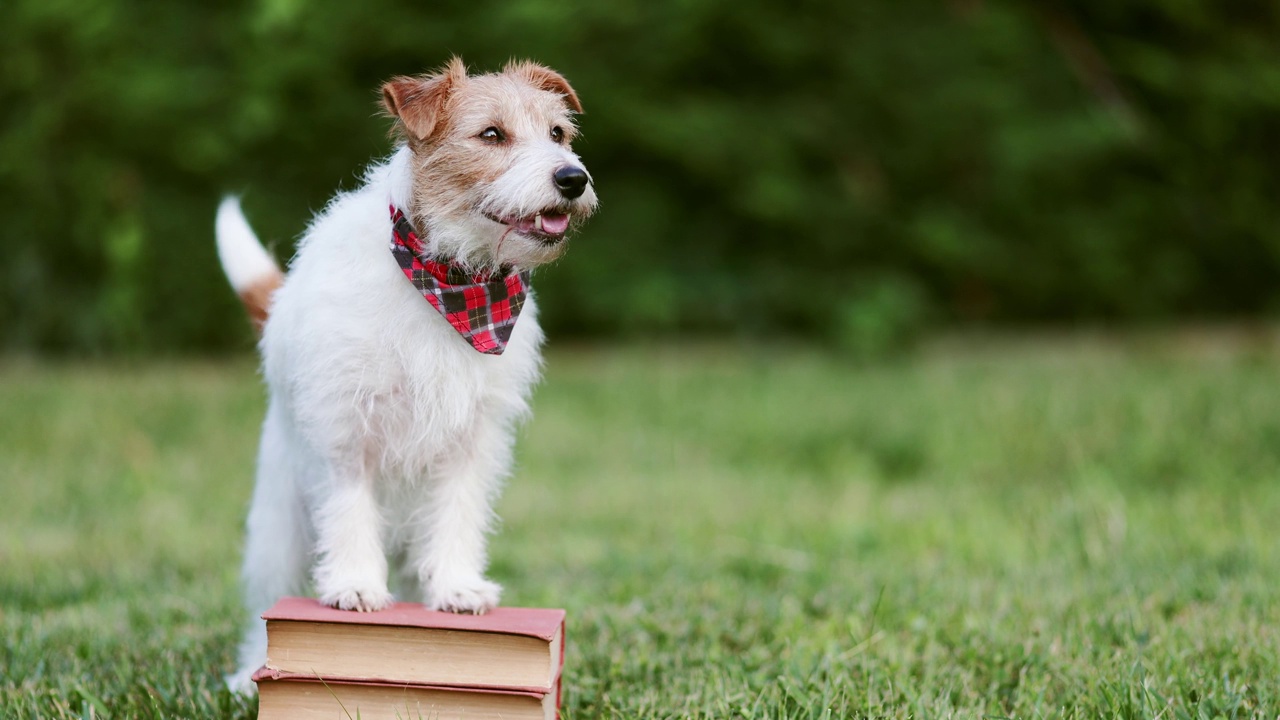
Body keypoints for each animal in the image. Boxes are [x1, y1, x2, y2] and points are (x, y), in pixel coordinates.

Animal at [217, 57, 596, 691]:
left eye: (558, 134)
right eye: (491, 134)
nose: (572, 178)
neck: (449, 279)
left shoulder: (472, 439)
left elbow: (458, 513)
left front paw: (457, 587)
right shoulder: (346, 427)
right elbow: (349, 507)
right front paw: (354, 586)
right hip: (279, 528)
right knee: (265, 602)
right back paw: (249, 673)